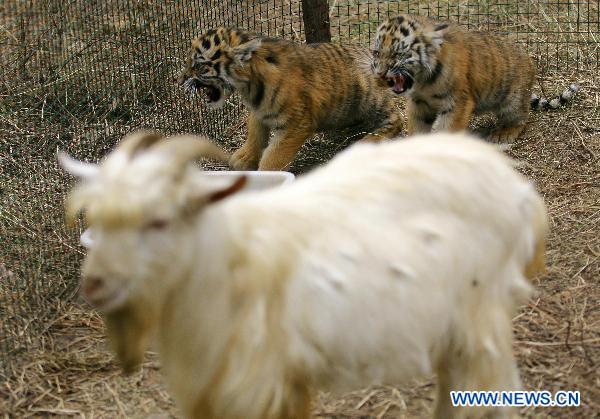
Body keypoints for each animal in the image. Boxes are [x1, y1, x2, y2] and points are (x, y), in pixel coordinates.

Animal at [59, 131, 548, 419]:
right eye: (95, 219)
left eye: (159, 221)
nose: (94, 284)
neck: (225, 261)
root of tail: (515, 182)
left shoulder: (259, 382)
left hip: (481, 313)